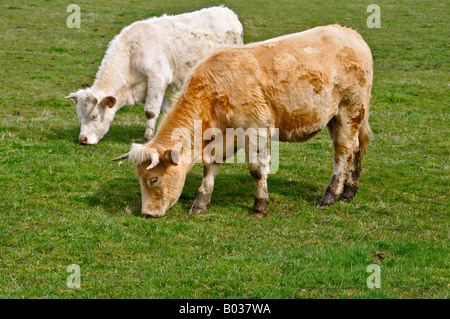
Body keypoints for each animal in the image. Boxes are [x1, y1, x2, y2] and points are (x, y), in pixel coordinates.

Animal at [64, 5, 243, 145]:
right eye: (79, 116)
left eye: (94, 116)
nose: (83, 139)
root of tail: (227, 12)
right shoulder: (148, 87)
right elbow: (164, 109)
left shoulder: (157, 80)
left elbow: (150, 111)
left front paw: (147, 138)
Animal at [115, 25, 372, 219]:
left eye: (153, 179)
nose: (148, 213)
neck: (215, 90)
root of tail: (350, 34)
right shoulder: (223, 138)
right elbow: (210, 167)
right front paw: (200, 203)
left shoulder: (257, 129)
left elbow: (257, 171)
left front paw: (260, 205)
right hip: (339, 117)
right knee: (357, 148)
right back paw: (350, 191)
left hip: (349, 110)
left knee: (343, 151)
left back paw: (330, 195)